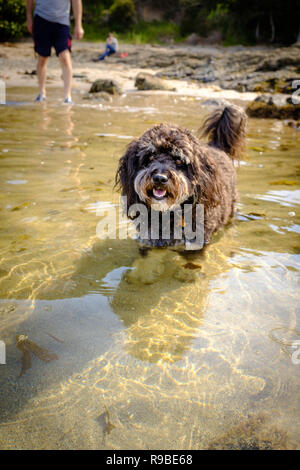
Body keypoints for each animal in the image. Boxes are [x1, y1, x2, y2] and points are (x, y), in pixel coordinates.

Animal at [115, 103, 246, 250]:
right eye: (150, 157)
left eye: (178, 160)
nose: (159, 178)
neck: (168, 213)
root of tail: (217, 147)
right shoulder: (148, 239)